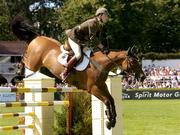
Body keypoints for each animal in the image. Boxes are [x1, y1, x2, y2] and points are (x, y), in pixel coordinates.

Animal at [11, 16, 146, 130]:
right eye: (133, 62)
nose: (143, 77)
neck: (100, 64)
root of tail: (37, 37)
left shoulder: (102, 86)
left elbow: (111, 100)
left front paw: (111, 120)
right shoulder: (93, 89)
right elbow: (107, 101)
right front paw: (109, 121)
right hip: (34, 62)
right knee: (24, 59)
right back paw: (17, 75)